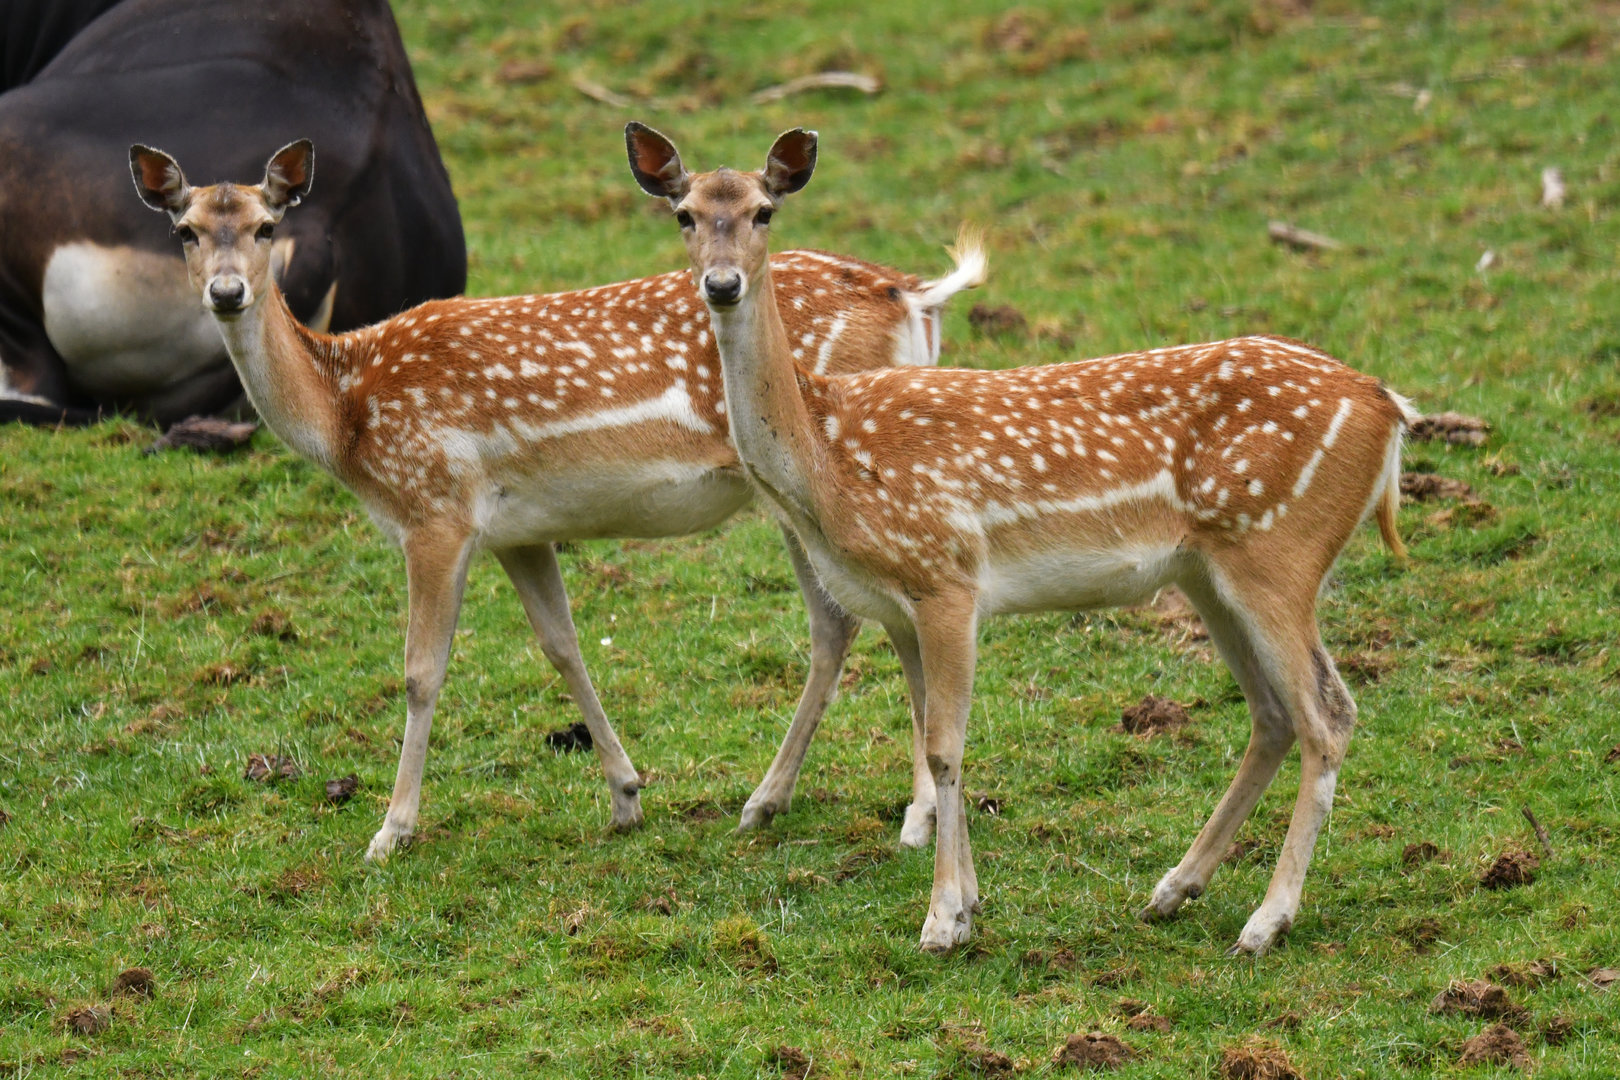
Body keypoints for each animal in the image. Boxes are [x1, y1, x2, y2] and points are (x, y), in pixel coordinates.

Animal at [129, 139, 985, 864]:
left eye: (269, 225)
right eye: (185, 230)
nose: (228, 292)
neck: (346, 415)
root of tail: (915, 296)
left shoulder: (434, 509)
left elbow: (420, 671)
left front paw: (390, 830)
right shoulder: (517, 530)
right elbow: (561, 645)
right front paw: (626, 796)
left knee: (856, 619)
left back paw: (901, 815)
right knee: (843, 625)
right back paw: (770, 802)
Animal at [625, 121, 1416, 956]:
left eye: (764, 210)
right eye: (683, 213)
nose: (721, 284)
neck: (825, 461)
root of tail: (1389, 409)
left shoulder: (946, 574)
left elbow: (945, 745)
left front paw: (942, 920)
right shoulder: (897, 603)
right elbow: (930, 735)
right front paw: (969, 904)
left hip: (1279, 550)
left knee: (1328, 716)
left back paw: (1265, 921)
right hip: (1209, 571)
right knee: (1273, 715)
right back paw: (1174, 889)